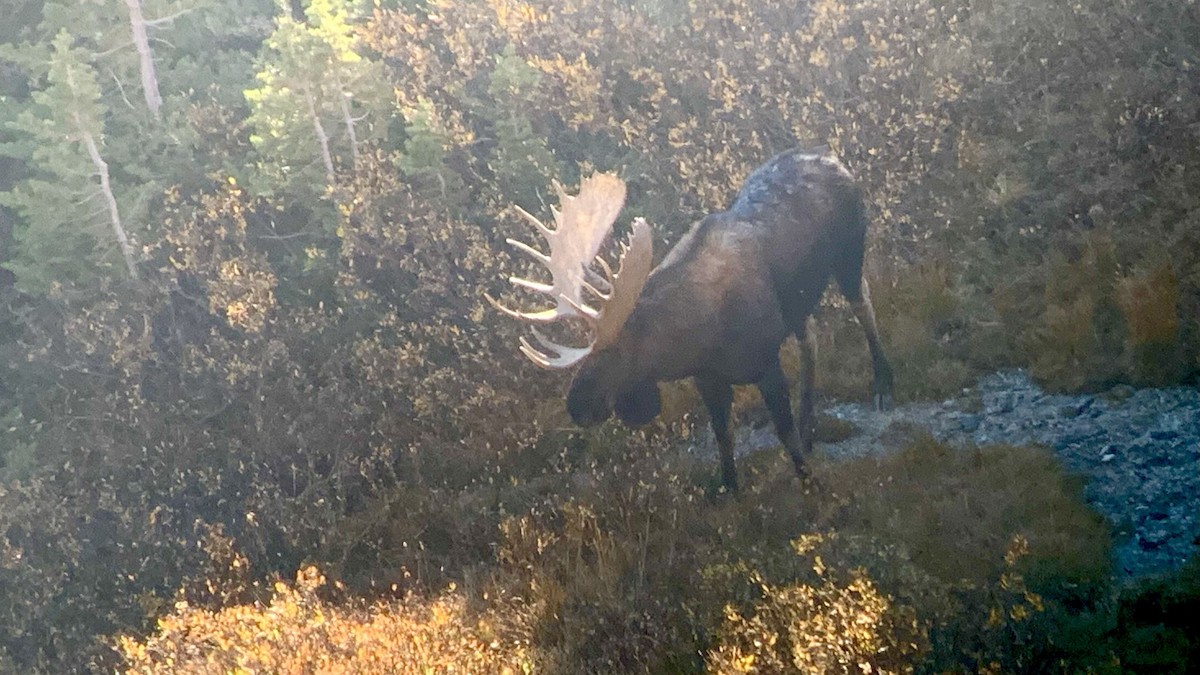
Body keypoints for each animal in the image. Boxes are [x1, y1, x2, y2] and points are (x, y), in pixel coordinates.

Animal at [488, 148, 893, 491]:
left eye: (615, 351)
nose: (577, 406)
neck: (695, 344)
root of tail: (833, 157)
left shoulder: (765, 363)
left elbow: (782, 429)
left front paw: (810, 482)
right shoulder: (707, 378)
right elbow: (722, 435)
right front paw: (729, 488)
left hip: (850, 251)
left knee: (863, 303)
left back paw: (883, 385)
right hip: (798, 300)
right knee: (811, 336)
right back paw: (810, 423)